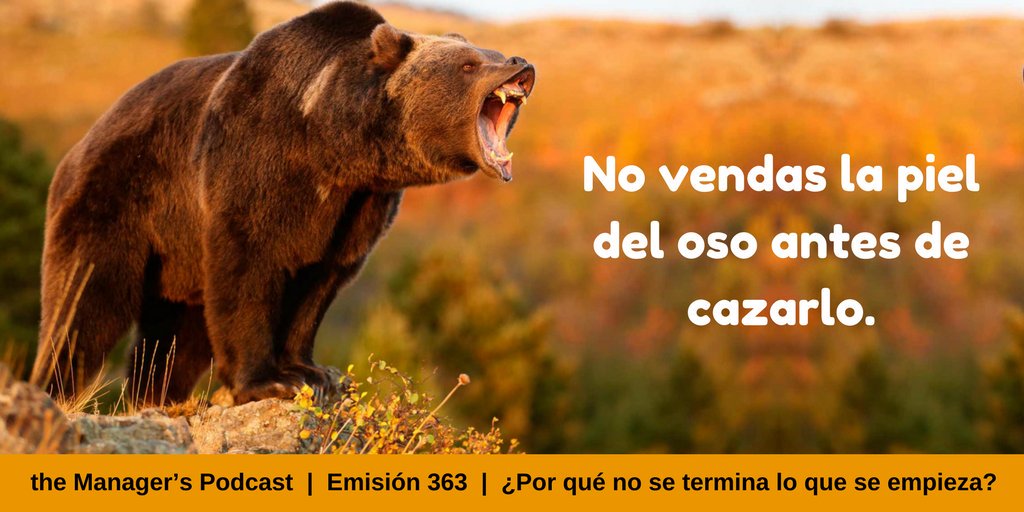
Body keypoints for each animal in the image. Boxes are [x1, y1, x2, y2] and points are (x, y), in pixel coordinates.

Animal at [30, 1, 535, 405]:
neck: (330, 143)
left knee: (174, 338)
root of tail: (78, 146)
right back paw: (54, 389)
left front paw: (313, 372)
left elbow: (319, 281)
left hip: (177, 261)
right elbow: (247, 268)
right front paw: (268, 382)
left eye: (491, 53)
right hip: (116, 202)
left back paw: (154, 396)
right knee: (84, 302)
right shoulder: (253, 164)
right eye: (469, 65)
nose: (519, 62)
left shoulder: (357, 207)